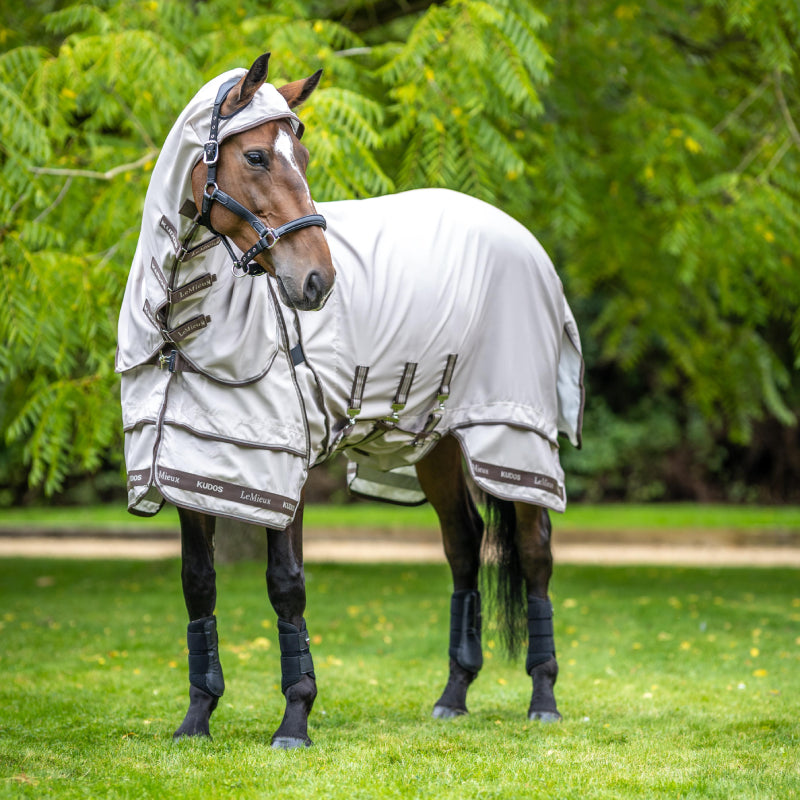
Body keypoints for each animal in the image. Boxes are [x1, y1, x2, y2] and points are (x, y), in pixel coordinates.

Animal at [116, 54, 584, 749]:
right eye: (256, 156)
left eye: (304, 155)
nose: (317, 281)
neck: (188, 328)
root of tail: (522, 238)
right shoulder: (192, 466)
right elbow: (198, 585)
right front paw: (196, 717)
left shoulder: (281, 468)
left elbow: (286, 586)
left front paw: (294, 719)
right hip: (435, 442)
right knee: (464, 545)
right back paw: (453, 694)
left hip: (512, 437)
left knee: (534, 551)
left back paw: (544, 698)